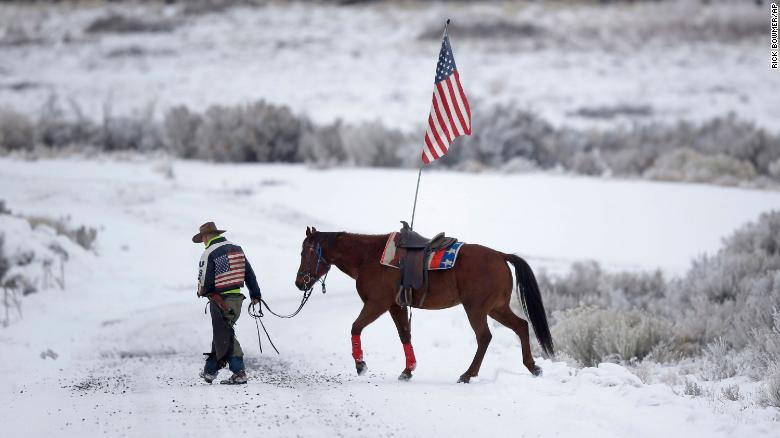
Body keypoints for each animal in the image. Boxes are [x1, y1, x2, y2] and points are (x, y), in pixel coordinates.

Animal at [294, 228, 556, 382]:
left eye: (306, 252)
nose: (299, 282)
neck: (369, 256)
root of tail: (501, 255)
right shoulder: (396, 306)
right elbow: (405, 335)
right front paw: (408, 369)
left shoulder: (377, 303)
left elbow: (355, 327)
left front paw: (361, 365)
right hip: (496, 308)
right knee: (521, 326)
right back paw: (533, 367)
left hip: (476, 308)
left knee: (484, 337)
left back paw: (468, 374)